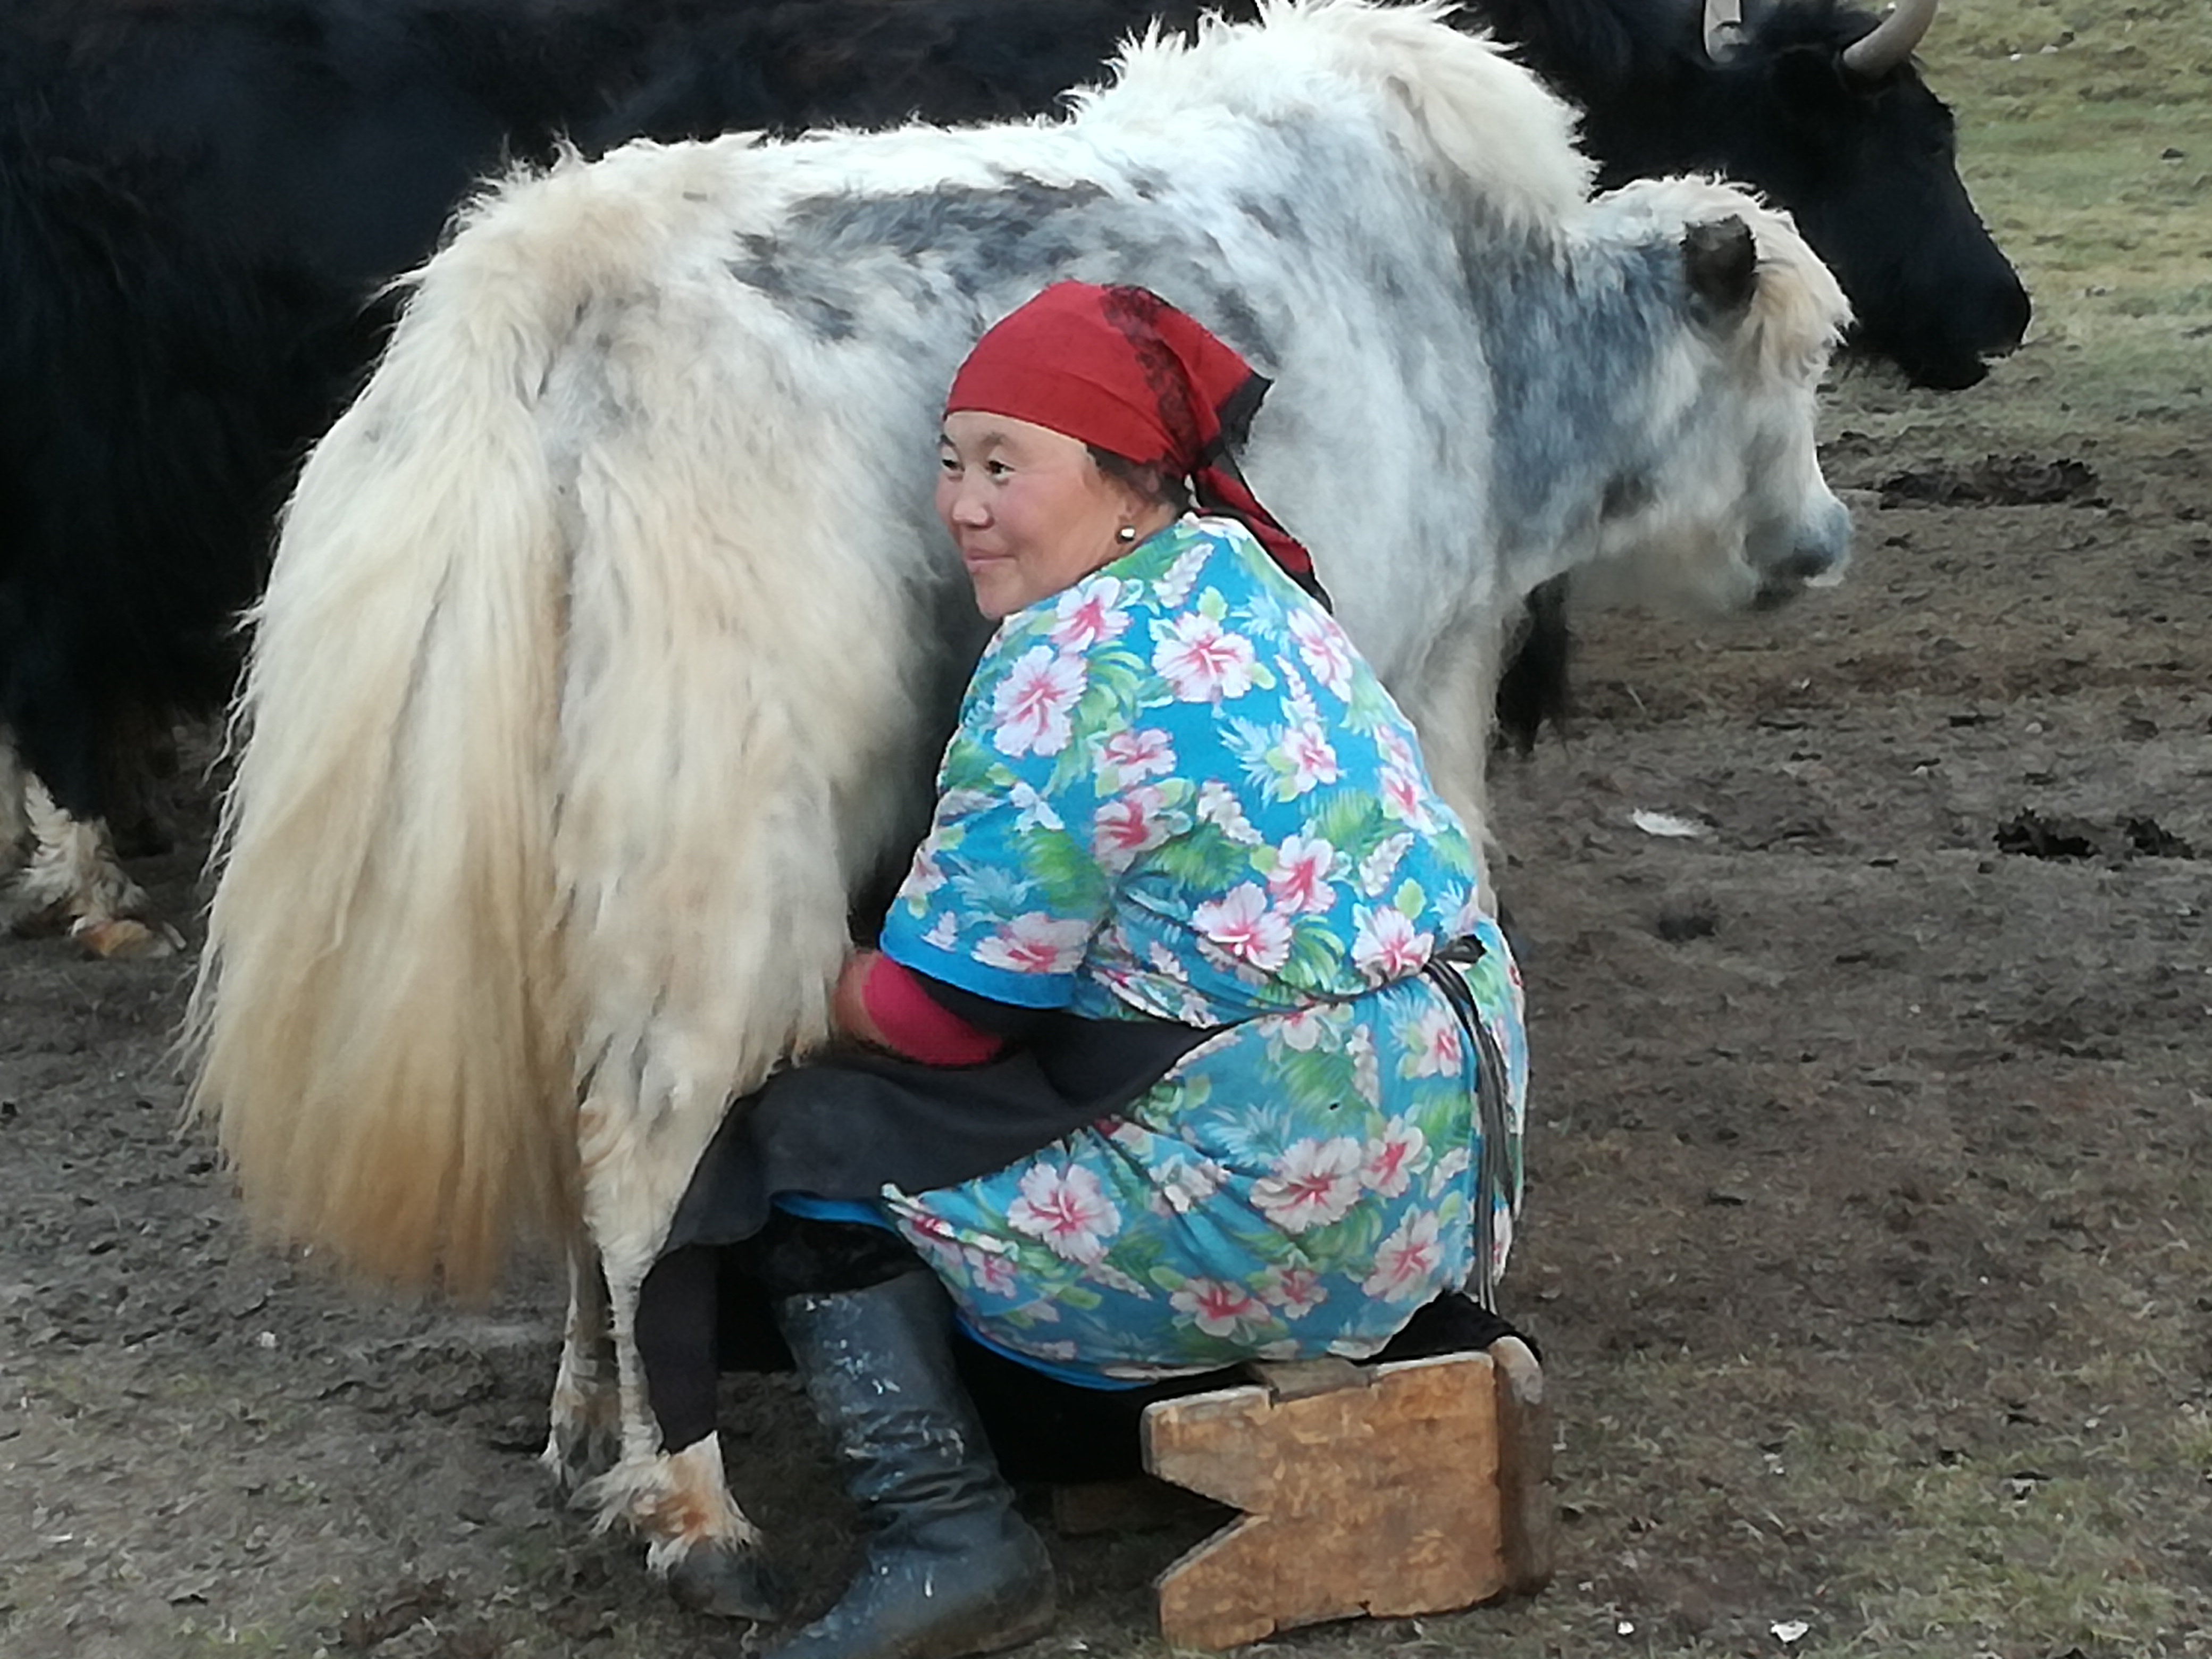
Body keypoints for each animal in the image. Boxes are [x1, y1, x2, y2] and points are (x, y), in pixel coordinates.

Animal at [185, 0, 1852, 1607]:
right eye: (1786, 373)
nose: (1821, 542)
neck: (1481, 326)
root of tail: (550, 290)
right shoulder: (1410, 659)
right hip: (719, 849)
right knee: (648, 1140)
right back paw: (699, 1518)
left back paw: (587, 1429)